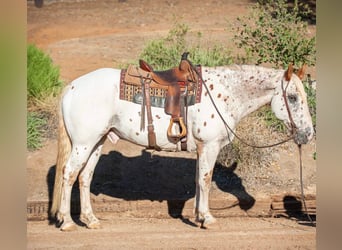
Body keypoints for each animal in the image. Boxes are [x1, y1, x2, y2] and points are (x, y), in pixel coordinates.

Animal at [50, 62, 312, 230]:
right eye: (292, 98)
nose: (308, 133)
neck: (226, 94)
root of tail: (71, 87)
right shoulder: (209, 146)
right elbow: (205, 180)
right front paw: (207, 218)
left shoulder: (202, 149)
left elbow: (198, 180)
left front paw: (197, 217)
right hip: (83, 144)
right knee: (69, 174)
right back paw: (67, 222)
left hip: (97, 142)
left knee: (84, 177)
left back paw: (90, 220)